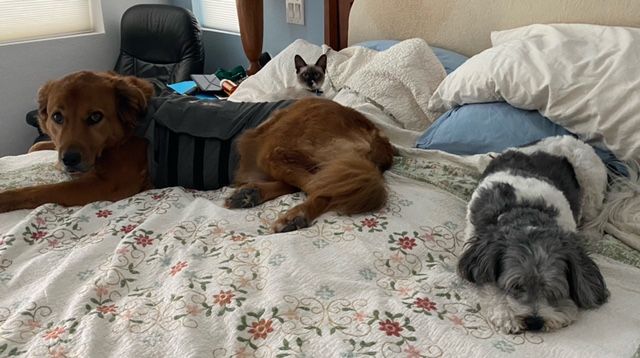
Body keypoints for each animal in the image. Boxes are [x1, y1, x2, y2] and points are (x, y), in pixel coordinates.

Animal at [458, 136, 608, 334]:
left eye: (554, 292)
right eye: (515, 286)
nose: (535, 322)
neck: (526, 209)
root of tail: (571, 138)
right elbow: (488, 284)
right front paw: (506, 314)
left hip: (591, 182)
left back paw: (591, 234)